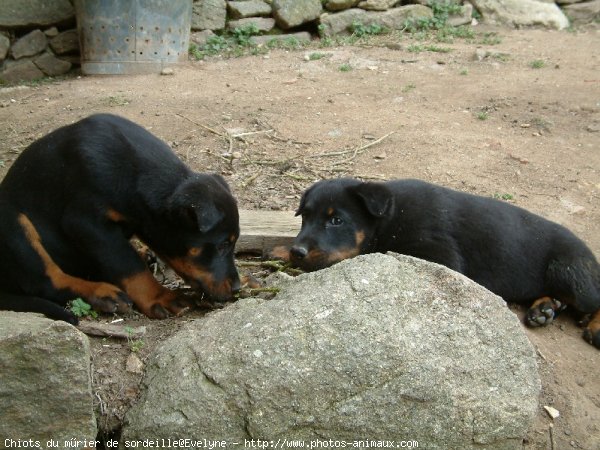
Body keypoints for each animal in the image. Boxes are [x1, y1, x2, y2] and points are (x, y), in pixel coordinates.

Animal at [0, 113, 239, 324]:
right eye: (222, 245)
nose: (237, 288)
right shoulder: (87, 223)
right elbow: (128, 265)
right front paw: (160, 297)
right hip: (15, 225)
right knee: (46, 282)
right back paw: (103, 293)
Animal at [288, 178, 600, 348]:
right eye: (305, 217)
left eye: (336, 220)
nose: (296, 251)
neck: (389, 217)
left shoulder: (439, 254)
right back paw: (545, 308)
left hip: (569, 270)